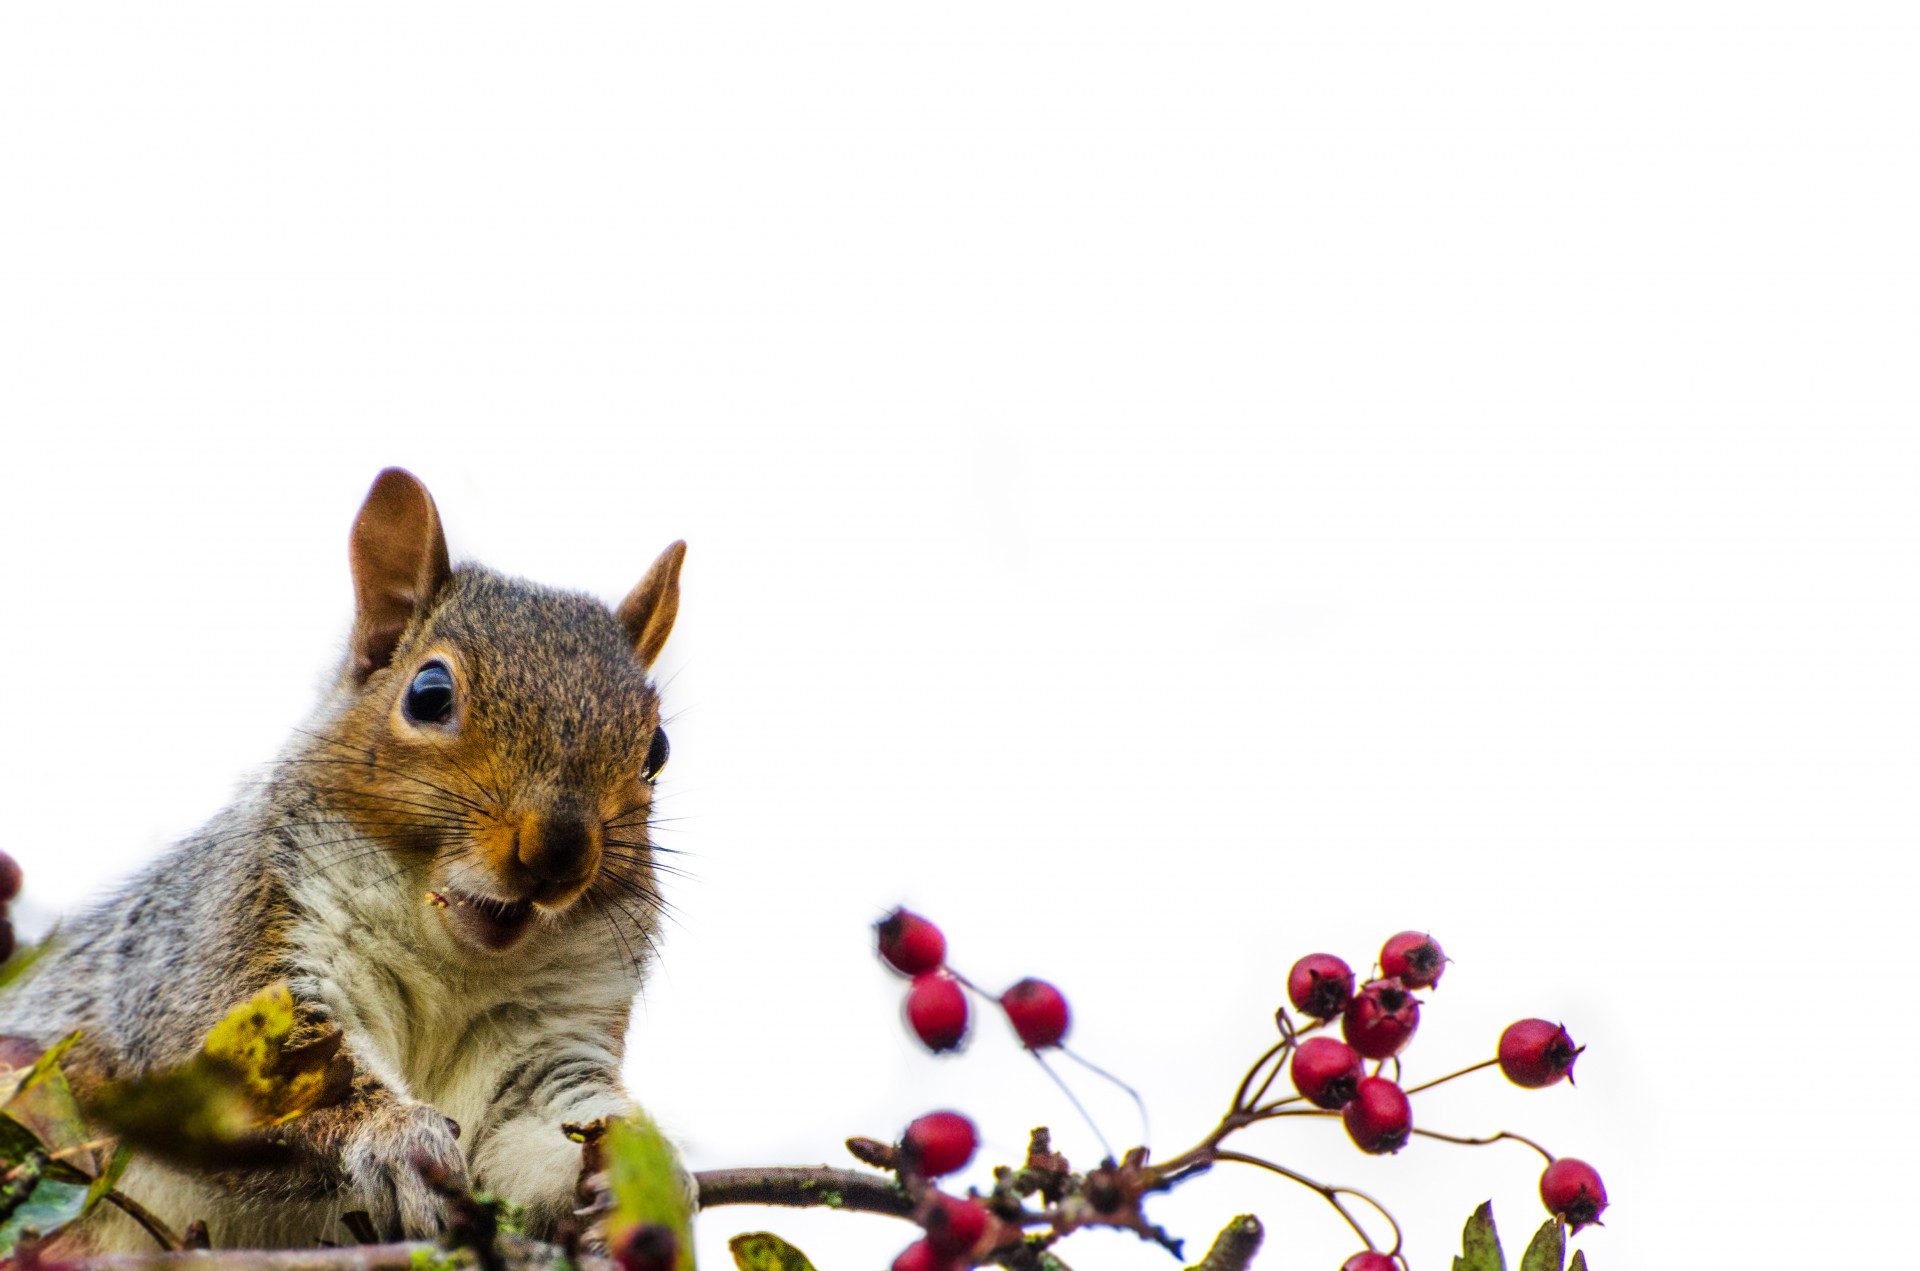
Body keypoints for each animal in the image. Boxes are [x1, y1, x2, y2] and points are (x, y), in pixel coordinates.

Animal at [0, 470, 691, 1251]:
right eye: (428, 693)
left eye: (657, 750)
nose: (559, 850)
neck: (457, 969)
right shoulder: (230, 957)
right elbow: (262, 1083)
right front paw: (394, 1137)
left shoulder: (546, 1042)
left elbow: (538, 1129)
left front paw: (640, 1171)